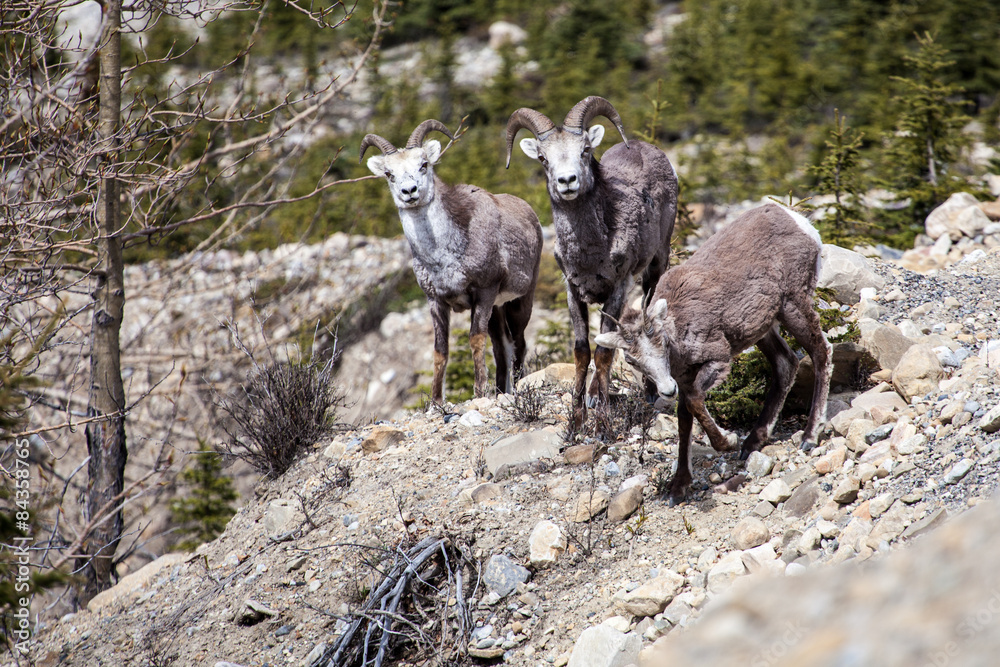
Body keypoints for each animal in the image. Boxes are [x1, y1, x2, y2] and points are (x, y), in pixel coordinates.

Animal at [360, 120, 543, 403]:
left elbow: (475, 340)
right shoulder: (436, 301)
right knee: (502, 348)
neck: (442, 256)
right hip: (497, 309)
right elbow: (440, 351)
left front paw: (478, 393)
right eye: (389, 173)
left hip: (519, 301)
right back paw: (501, 391)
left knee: (519, 345)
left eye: (424, 164)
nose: (409, 192)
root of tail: (531, 214)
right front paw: (436, 402)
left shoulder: (484, 292)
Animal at [505, 96, 677, 426]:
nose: (567, 181)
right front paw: (577, 416)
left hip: (656, 265)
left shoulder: (618, 288)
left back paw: (649, 392)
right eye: (543, 158)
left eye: (585, 150)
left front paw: (601, 417)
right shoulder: (573, 292)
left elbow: (604, 353)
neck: (591, 253)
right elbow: (583, 350)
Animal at [594, 203, 832, 504]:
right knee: (786, 363)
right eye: (632, 360)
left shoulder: (717, 361)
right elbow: (685, 421)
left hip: (792, 305)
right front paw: (679, 487)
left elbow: (696, 404)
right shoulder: (683, 380)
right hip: (762, 327)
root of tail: (801, 223)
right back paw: (753, 442)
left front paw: (728, 441)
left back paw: (809, 436)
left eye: (661, 341)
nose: (666, 389)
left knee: (821, 351)